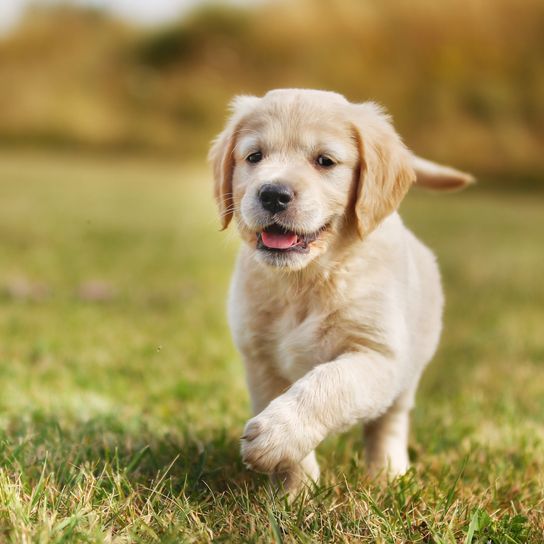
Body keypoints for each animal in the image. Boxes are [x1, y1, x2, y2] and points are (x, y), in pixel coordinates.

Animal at [208, 89, 472, 498]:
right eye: (254, 156)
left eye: (324, 161)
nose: (273, 194)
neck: (307, 279)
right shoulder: (262, 361)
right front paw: (296, 492)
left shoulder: (378, 355)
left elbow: (329, 383)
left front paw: (276, 436)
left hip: (409, 371)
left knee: (389, 423)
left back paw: (388, 473)